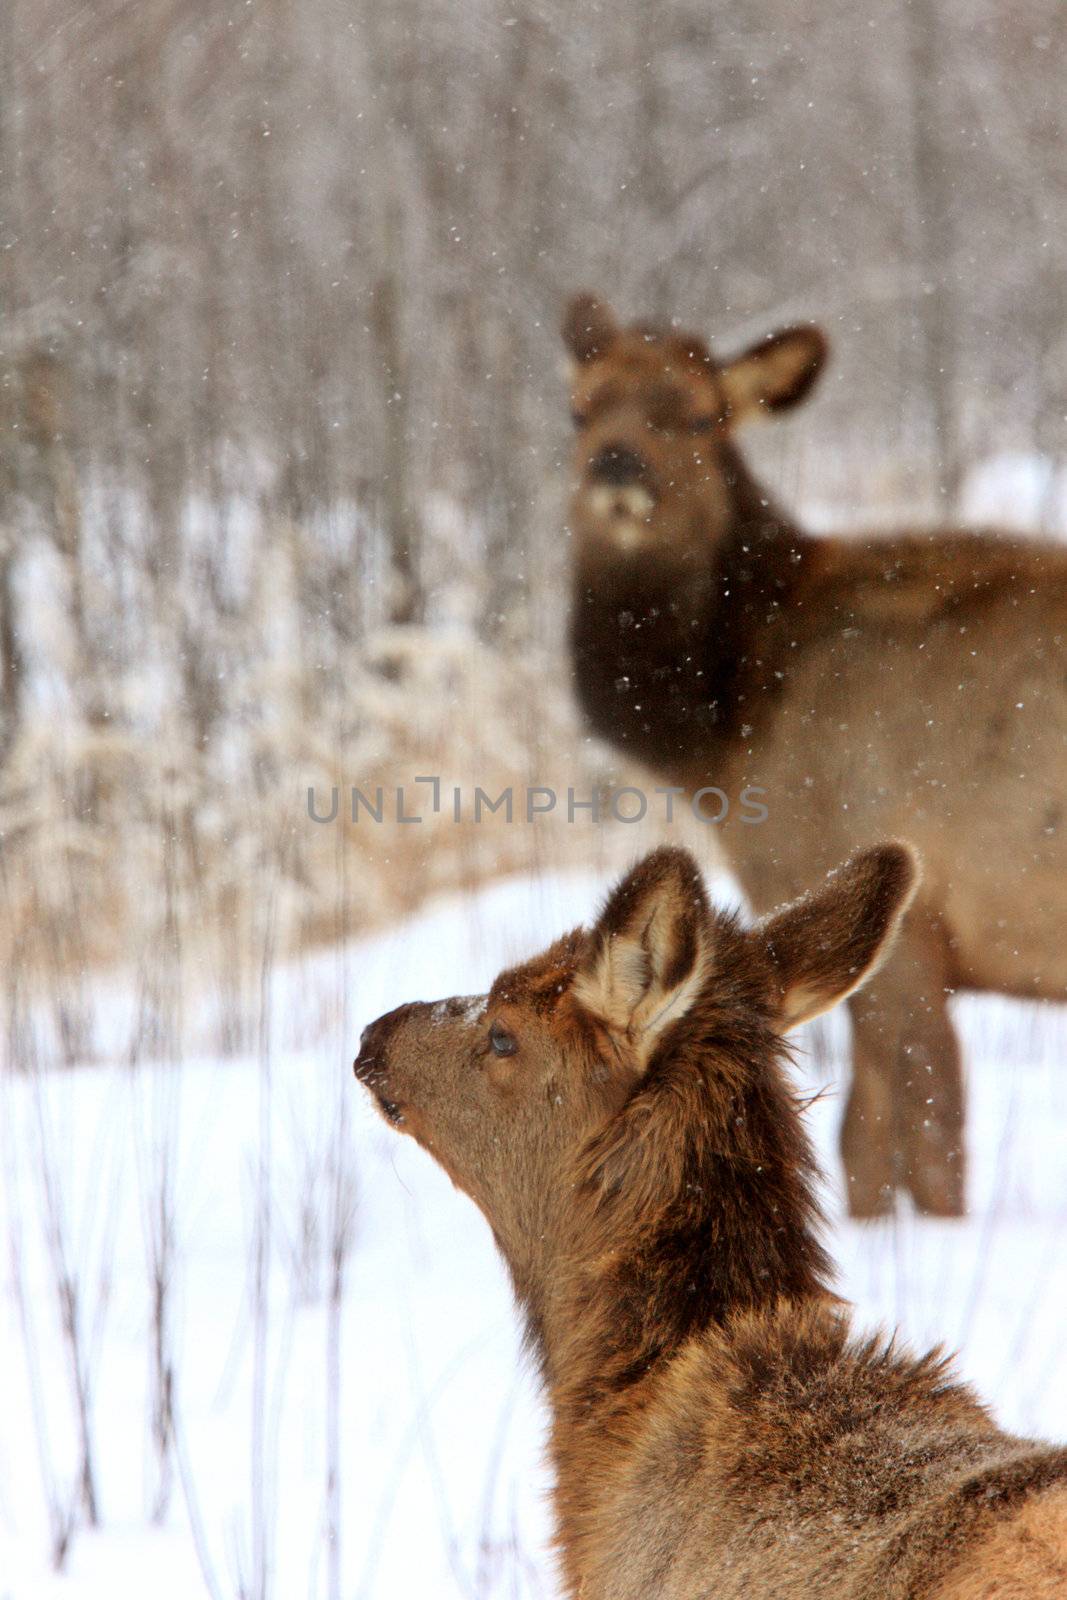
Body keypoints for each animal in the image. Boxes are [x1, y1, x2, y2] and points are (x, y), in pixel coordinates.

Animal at [563, 291, 1067, 1209]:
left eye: (699, 414)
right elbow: (864, 1145)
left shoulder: (906, 917)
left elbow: (924, 1140)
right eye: (578, 407)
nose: (617, 467)